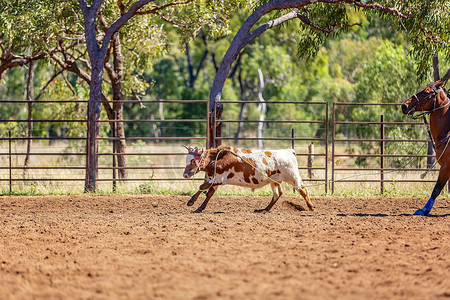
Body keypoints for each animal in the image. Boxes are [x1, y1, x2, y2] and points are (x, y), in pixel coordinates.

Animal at [182, 145, 312, 213]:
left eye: (193, 161)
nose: (185, 175)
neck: (219, 157)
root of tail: (289, 151)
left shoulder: (220, 178)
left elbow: (202, 186)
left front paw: (191, 201)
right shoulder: (215, 179)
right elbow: (209, 193)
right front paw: (200, 208)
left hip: (293, 177)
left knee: (302, 190)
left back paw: (310, 206)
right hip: (274, 181)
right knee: (277, 194)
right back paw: (265, 209)